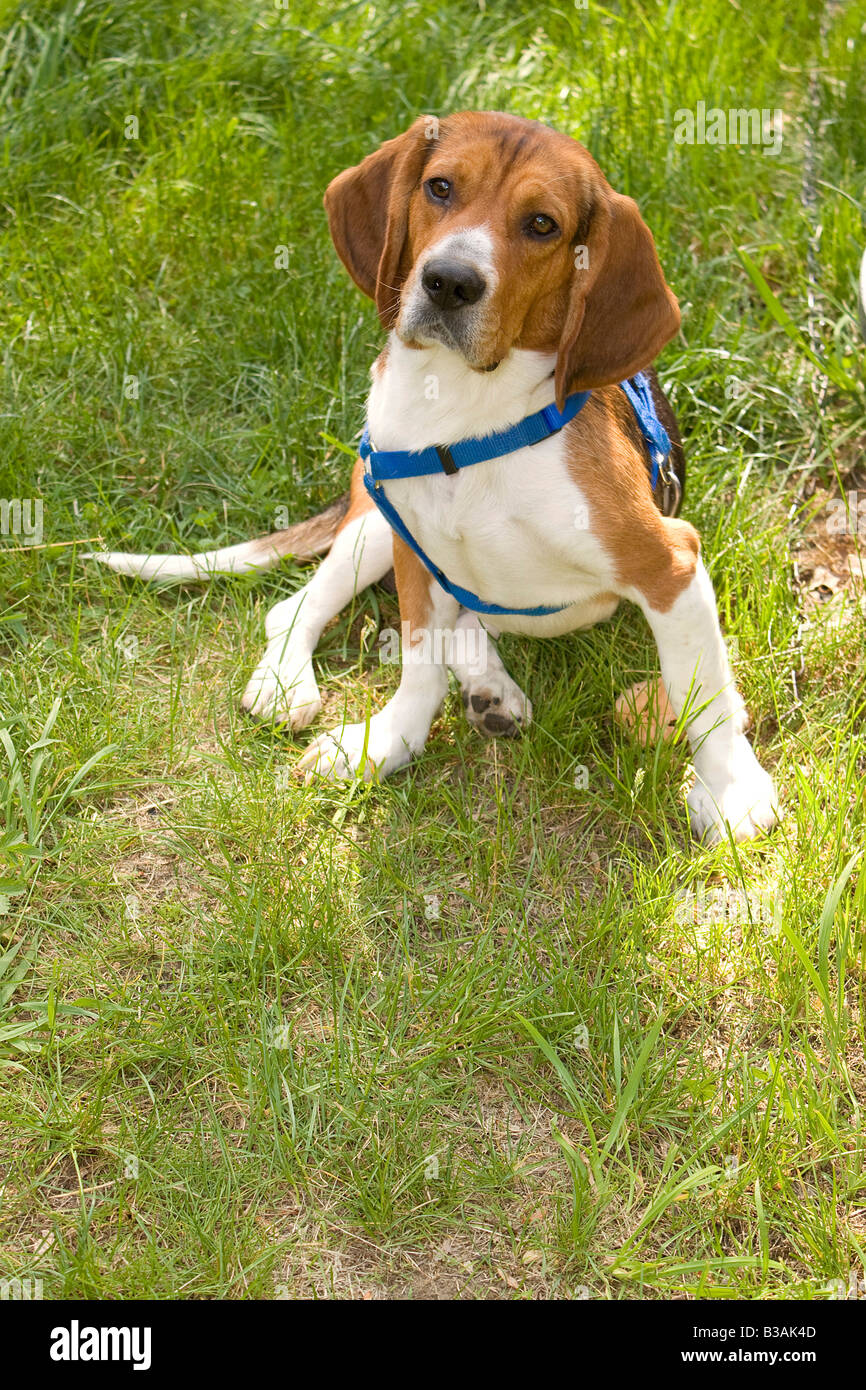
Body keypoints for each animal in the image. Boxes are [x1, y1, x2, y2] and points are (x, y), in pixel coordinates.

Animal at [91, 108, 783, 839]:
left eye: (543, 224)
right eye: (441, 187)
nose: (450, 281)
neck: (464, 413)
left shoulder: (669, 562)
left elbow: (705, 698)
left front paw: (731, 789)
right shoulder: (412, 546)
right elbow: (418, 661)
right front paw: (387, 742)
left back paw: (489, 688)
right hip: (373, 522)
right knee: (296, 607)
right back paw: (297, 681)